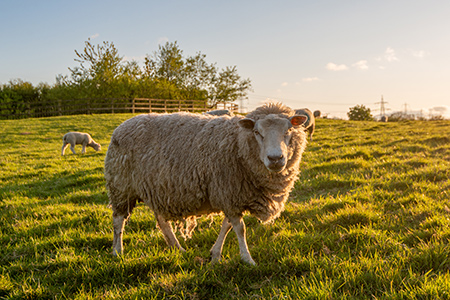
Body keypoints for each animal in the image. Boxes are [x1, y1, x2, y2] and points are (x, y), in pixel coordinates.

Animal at [104, 102, 310, 264]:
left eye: (288, 131)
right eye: (257, 132)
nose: (275, 159)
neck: (238, 144)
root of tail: (122, 126)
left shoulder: (232, 195)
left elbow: (227, 226)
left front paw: (215, 255)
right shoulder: (228, 191)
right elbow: (240, 229)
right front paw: (247, 259)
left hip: (157, 187)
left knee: (162, 222)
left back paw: (177, 248)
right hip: (121, 186)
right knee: (118, 220)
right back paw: (117, 251)